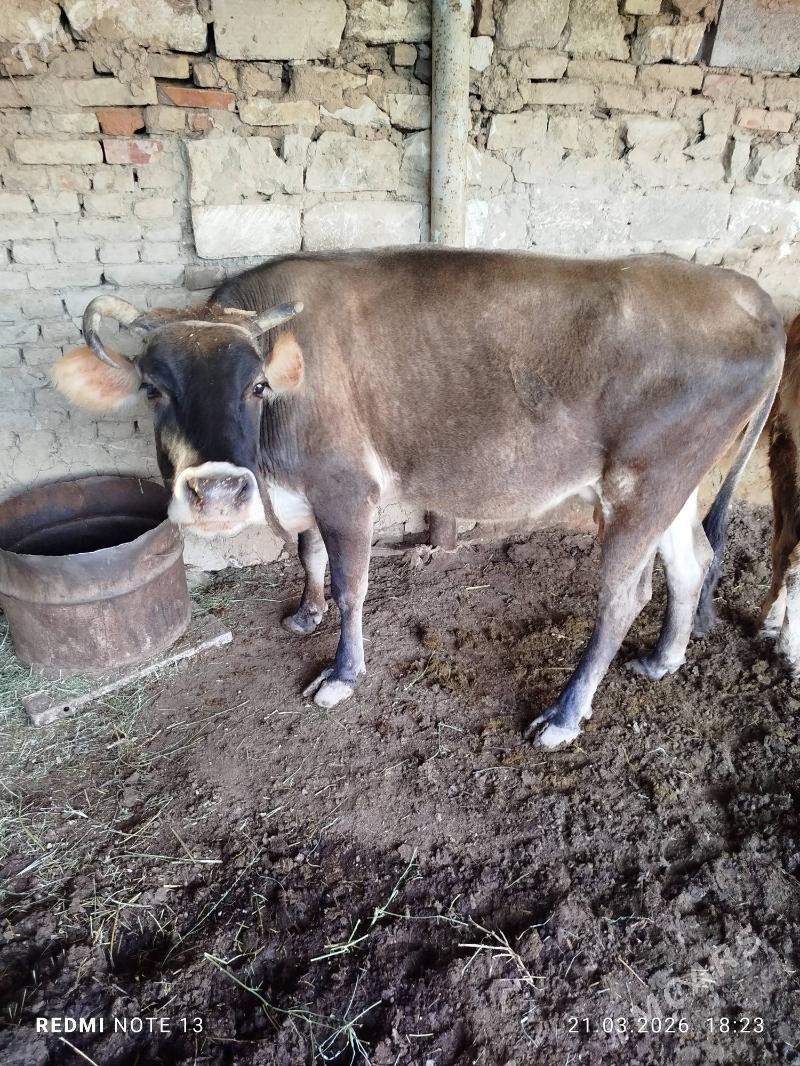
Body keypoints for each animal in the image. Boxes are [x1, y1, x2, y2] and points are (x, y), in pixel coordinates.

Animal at [51, 248, 784, 747]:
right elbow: (309, 556)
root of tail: (747, 294)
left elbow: (350, 583)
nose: (221, 492)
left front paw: (342, 673)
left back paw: (564, 715)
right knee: (691, 562)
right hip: (677, 484)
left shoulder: (347, 489)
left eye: (256, 386)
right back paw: (662, 660)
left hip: (641, 483)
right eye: (154, 389)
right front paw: (305, 615)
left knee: (625, 596)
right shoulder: (307, 489)